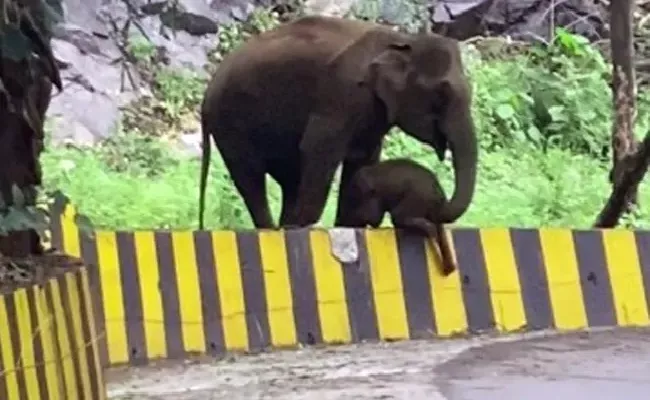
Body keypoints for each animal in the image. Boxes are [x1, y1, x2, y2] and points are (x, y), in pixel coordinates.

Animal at [197, 15, 476, 230]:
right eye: (441, 95)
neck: (403, 39)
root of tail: (207, 91)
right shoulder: (342, 94)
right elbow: (318, 148)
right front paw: (306, 227)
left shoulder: (372, 112)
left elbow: (363, 158)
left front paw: (349, 224)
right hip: (230, 125)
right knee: (251, 177)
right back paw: (276, 229)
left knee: (289, 178)